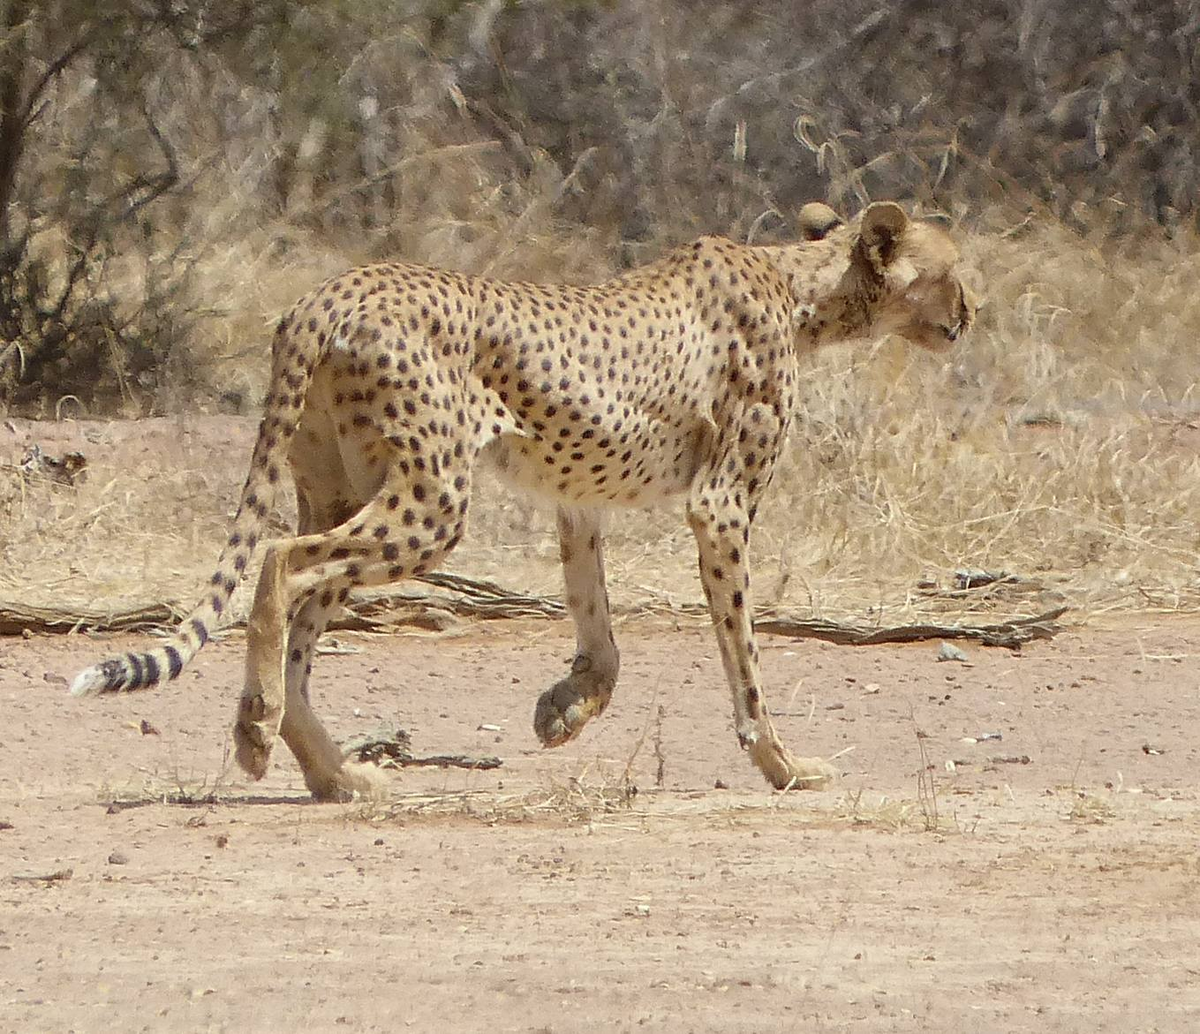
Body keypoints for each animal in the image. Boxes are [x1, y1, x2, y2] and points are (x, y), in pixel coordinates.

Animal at [70, 202, 974, 801]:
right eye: (950, 269)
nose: (972, 311)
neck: (800, 285)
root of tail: (329, 292)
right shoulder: (719, 505)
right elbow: (743, 652)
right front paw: (782, 764)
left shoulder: (577, 501)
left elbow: (601, 637)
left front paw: (562, 712)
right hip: (431, 500)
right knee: (280, 564)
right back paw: (256, 732)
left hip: (343, 487)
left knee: (305, 600)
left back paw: (333, 772)